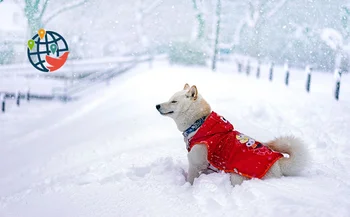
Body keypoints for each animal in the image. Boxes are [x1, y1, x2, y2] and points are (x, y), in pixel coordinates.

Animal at [156, 84, 308, 186]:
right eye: (169, 99)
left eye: (174, 101)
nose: (157, 105)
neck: (198, 124)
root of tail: (278, 165)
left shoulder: (196, 164)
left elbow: (191, 180)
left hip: (236, 176)